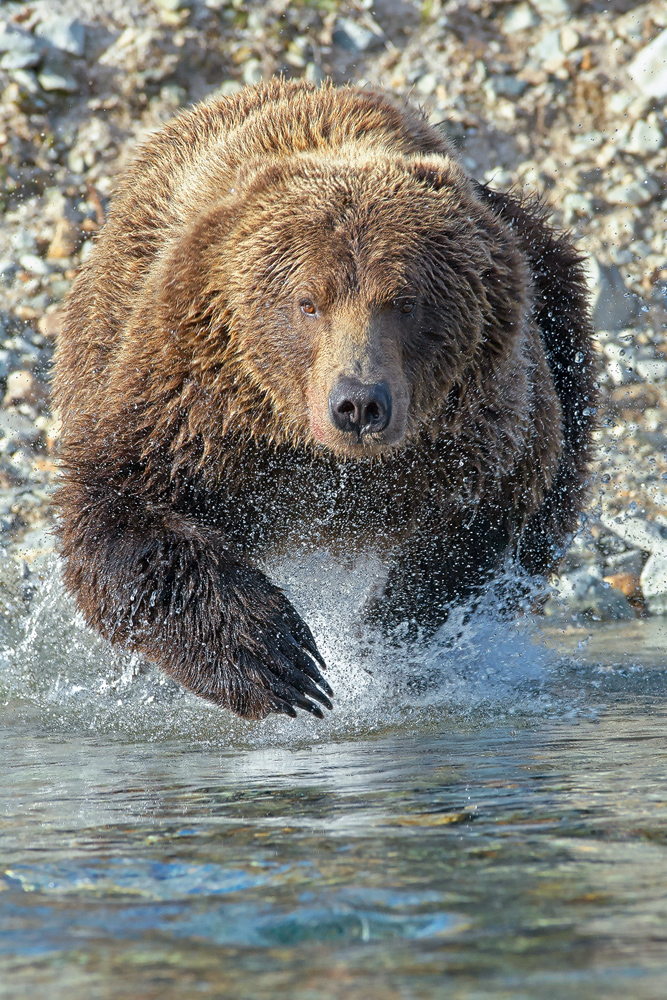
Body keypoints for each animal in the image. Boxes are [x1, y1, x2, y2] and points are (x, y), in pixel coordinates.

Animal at [52, 78, 596, 720]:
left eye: (405, 302)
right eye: (308, 302)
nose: (358, 403)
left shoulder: (477, 426)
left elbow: (477, 521)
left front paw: (385, 641)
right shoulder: (190, 406)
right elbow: (120, 514)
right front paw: (278, 660)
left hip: (557, 317)